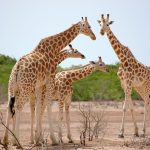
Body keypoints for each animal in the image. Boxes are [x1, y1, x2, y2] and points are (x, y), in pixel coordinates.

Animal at [2, 16, 95, 146]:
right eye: (89, 26)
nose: (94, 36)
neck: (53, 50)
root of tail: (18, 67)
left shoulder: (39, 86)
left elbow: (39, 110)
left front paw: (38, 140)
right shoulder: (49, 81)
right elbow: (47, 109)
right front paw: (53, 140)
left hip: (12, 88)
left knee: (10, 107)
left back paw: (6, 141)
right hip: (25, 88)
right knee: (18, 107)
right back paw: (17, 141)